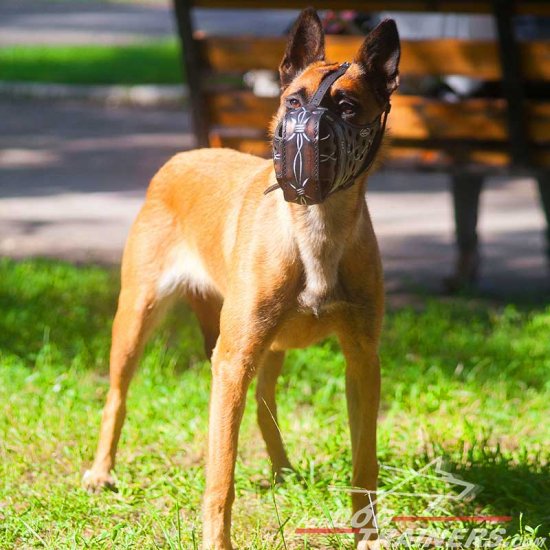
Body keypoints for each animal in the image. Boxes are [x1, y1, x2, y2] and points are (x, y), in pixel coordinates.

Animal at [82, 9, 402, 550]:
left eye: (348, 106)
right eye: (294, 101)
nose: (308, 139)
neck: (316, 228)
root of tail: (181, 157)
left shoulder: (363, 362)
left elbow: (366, 463)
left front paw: (367, 537)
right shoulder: (230, 361)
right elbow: (220, 476)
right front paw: (217, 539)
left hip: (269, 344)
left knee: (263, 401)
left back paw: (283, 470)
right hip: (139, 318)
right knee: (116, 399)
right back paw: (102, 472)